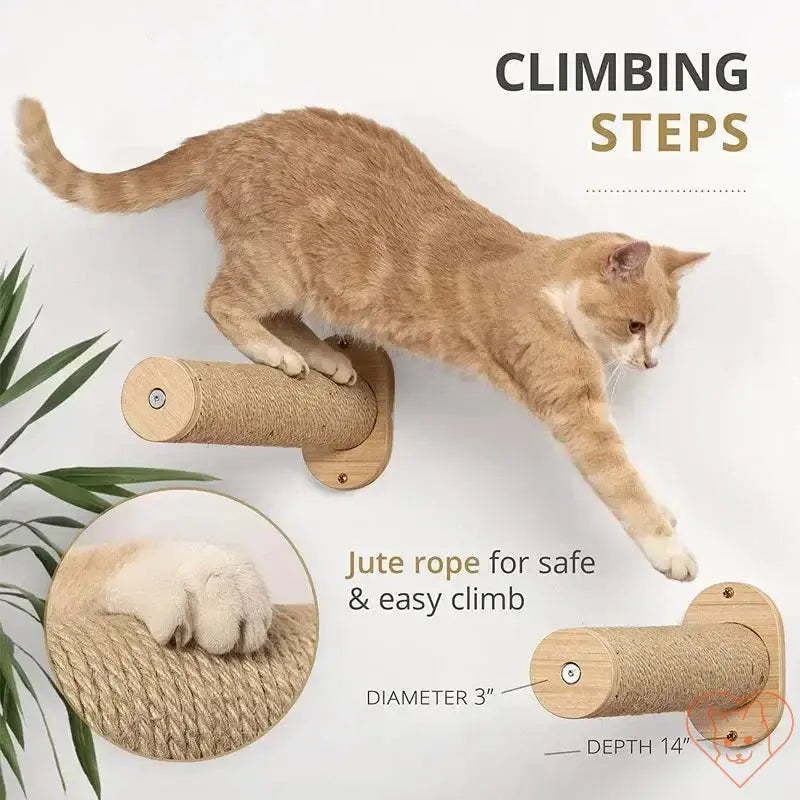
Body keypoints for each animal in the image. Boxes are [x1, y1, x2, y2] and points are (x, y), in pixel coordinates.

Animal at [17, 98, 708, 580]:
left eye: (664, 332)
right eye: (635, 325)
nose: (650, 362)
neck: (544, 281)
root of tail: (237, 131)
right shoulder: (574, 407)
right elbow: (621, 481)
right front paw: (669, 548)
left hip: (302, 281)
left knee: (282, 316)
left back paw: (326, 359)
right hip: (277, 265)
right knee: (224, 303)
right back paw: (278, 355)